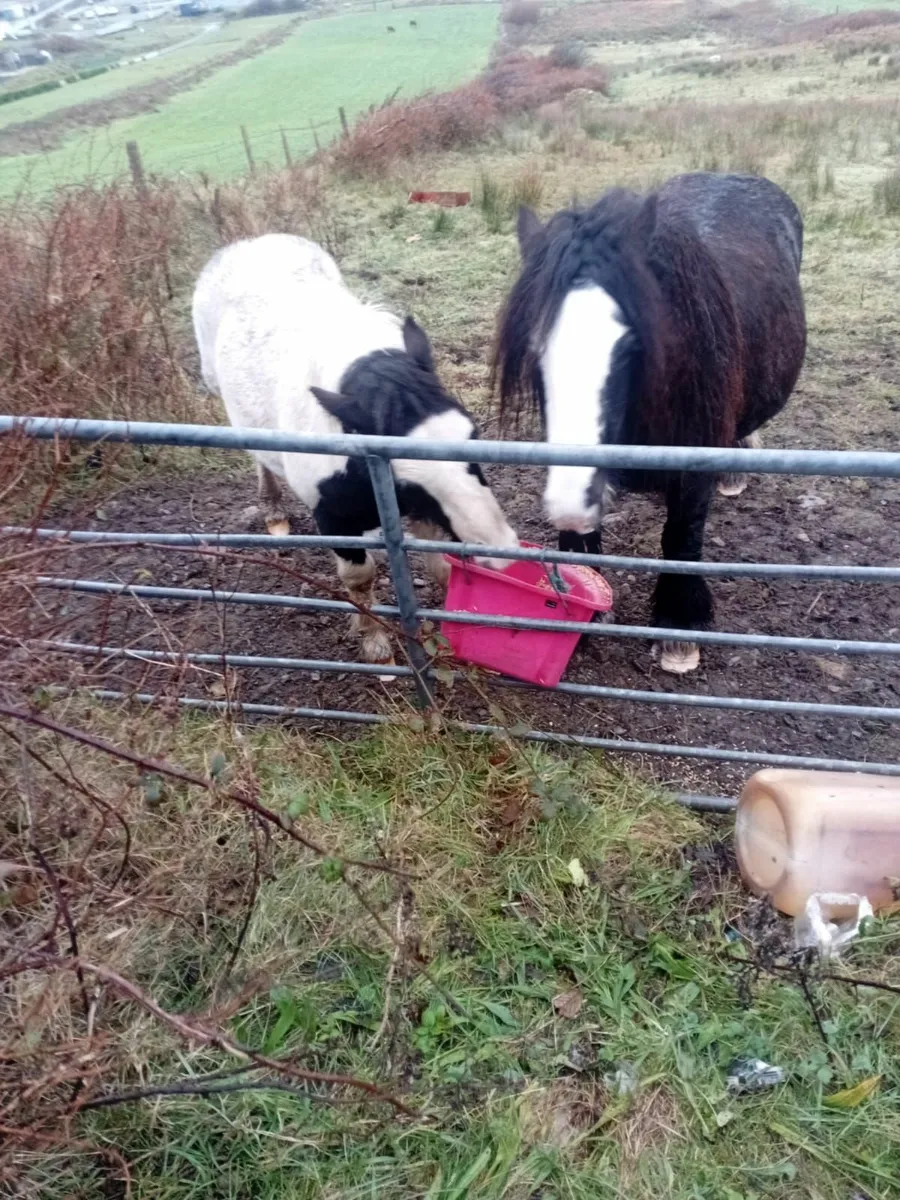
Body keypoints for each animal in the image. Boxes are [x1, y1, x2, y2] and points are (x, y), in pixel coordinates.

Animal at [193, 233, 518, 666]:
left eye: (473, 434)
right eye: (406, 480)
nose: (503, 553)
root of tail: (250, 241)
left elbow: (440, 567)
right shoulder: (334, 518)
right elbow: (358, 580)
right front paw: (376, 646)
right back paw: (273, 510)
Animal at [493, 171, 806, 674]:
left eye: (631, 344)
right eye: (534, 349)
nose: (568, 502)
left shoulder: (694, 466)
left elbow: (681, 535)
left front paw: (678, 627)